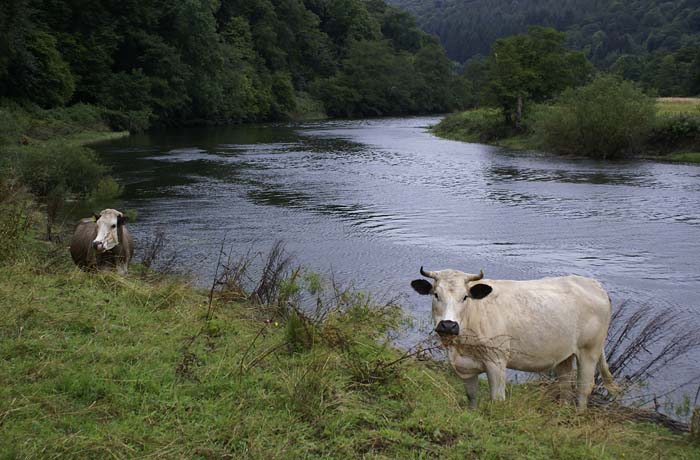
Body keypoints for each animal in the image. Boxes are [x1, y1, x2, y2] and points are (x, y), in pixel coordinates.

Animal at [411, 267, 616, 411]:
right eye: (436, 294)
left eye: (465, 297)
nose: (448, 325)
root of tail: (594, 285)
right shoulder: (466, 365)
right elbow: (471, 396)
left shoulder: (496, 361)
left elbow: (497, 399)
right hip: (565, 354)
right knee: (565, 386)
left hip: (589, 351)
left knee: (583, 388)